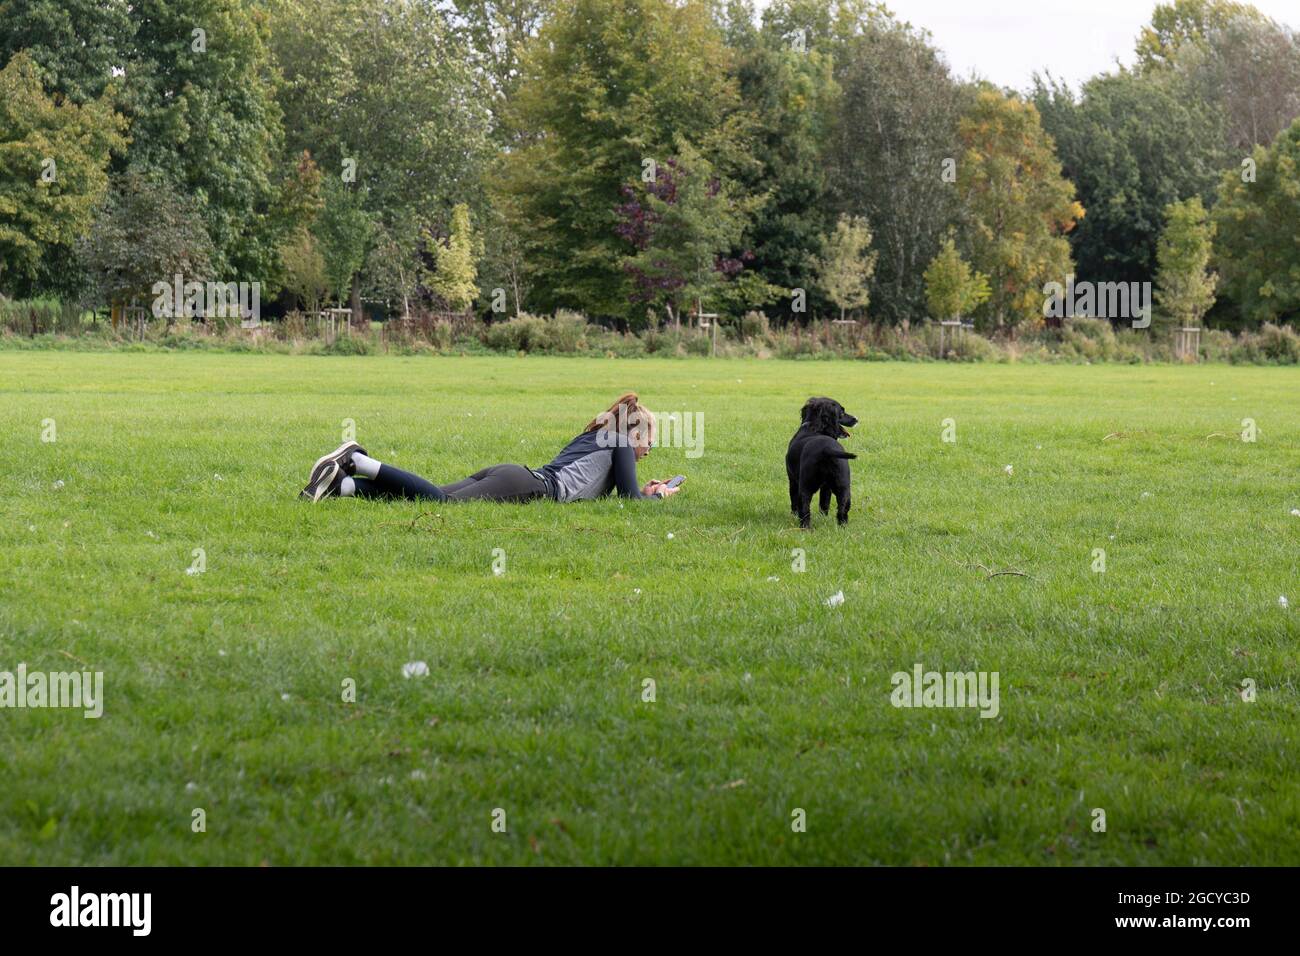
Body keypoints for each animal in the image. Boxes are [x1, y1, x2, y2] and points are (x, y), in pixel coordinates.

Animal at [785, 395, 857, 530]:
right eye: (842, 413)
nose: (856, 419)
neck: (813, 427)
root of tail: (826, 449)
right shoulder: (826, 486)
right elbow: (824, 503)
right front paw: (823, 518)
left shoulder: (792, 480)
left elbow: (794, 502)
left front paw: (793, 515)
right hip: (844, 486)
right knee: (842, 509)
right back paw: (842, 527)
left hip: (805, 487)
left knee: (804, 509)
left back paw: (805, 528)